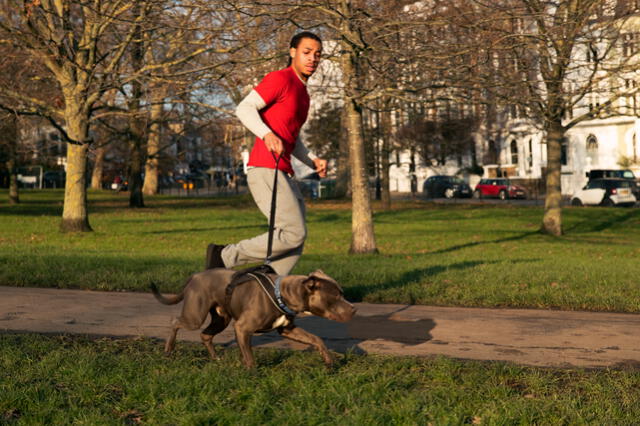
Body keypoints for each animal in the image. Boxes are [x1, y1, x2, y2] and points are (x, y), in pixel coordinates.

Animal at [152, 268, 358, 368]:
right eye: (336, 296)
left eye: (342, 293)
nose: (354, 309)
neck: (282, 294)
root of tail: (194, 276)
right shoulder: (243, 328)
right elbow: (249, 357)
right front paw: (252, 374)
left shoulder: (288, 329)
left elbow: (316, 339)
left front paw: (328, 361)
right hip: (195, 316)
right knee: (175, 322)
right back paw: (168, 350)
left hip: (221, 319)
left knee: (206, 335)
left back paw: (215, 358)